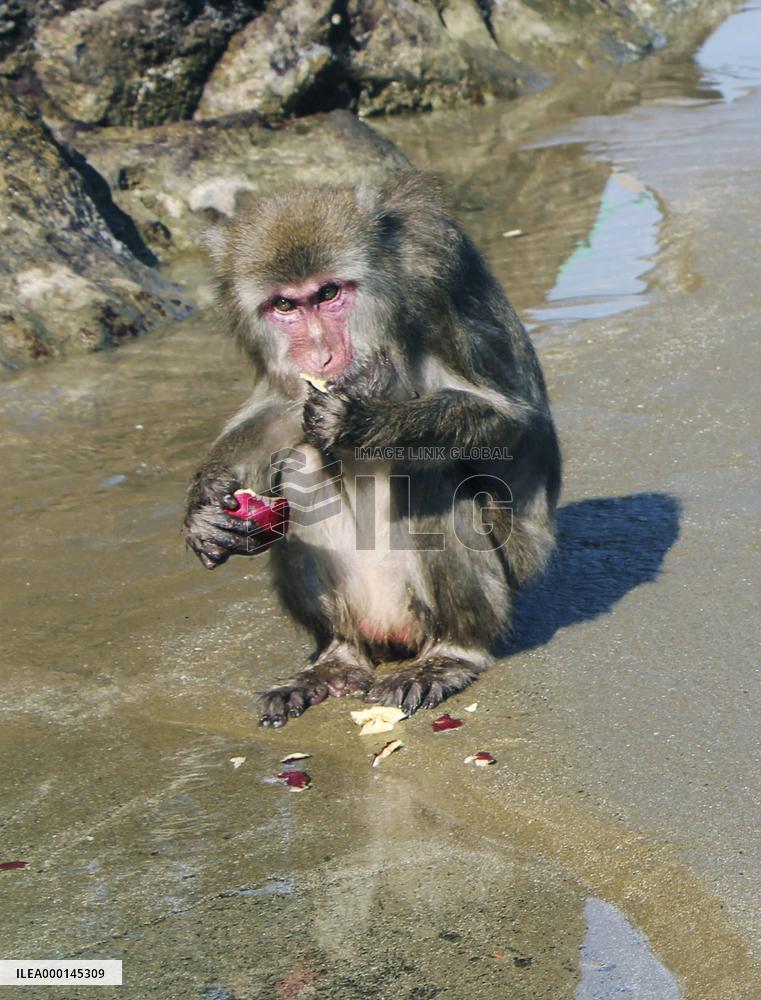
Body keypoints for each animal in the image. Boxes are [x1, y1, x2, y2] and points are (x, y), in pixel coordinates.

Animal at [183, 171, 561, 728]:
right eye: (285, 305)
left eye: (329, 293)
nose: (322, 355)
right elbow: (282, 404)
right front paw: (205, 506)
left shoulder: (437, 271)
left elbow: (515, 422)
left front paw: (364, 421)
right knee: (303, 464)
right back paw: (338, 659)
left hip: (492, 597)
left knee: (428, 474)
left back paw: (452, 653)